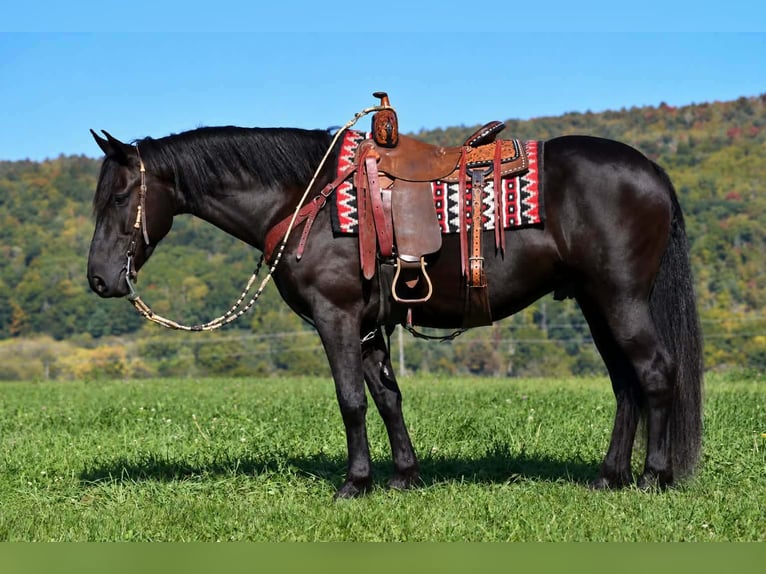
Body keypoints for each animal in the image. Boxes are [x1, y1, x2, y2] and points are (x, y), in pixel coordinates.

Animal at [86, 120, 703, 498]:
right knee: (625, 384)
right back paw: (609, 476)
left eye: (119, 197)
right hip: (596, 304)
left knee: (653, 373)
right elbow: (386, 396)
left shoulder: (335, 318)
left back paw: (653, 476)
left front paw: (354, 483)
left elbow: (351, 400)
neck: (305, 198)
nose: (98, 280)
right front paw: (404, 476)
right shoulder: (367, 326)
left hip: (620, 299)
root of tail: (652, 171)